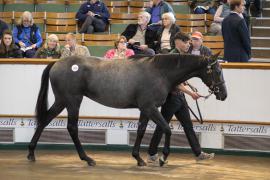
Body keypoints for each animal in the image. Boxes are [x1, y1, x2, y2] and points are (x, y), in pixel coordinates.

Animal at [27, 53, 227, 166]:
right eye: (217, 71)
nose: (223, 94)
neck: (160, 72)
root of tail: (57, 63)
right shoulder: (150, 107)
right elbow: (167, 129)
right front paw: (163, 158)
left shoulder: (145, 109)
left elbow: (141, 131)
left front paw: (138, 158)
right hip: (73, 101)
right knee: (72, 128)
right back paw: (88, 159)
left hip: (62, 101)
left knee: (44, 120)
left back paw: (31, 153)